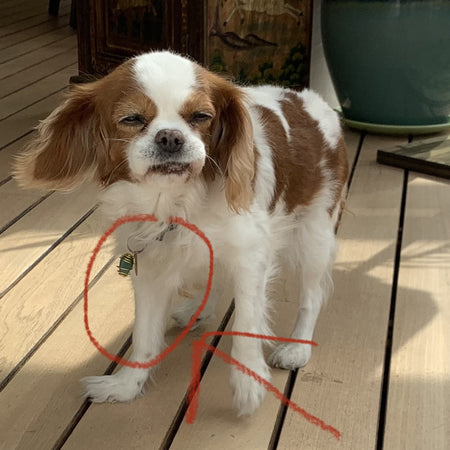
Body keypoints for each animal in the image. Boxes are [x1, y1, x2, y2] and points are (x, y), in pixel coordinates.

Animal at [14, 51, 348, 416]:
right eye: (132, 119)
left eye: (201, 116)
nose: (170, 137)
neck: (175, 202)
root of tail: (310, 100)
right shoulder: (149, 268)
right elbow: (144, 336)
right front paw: (126, 386)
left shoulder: (250, 259)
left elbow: (246, 323)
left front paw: (248, 384)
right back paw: (197, 311)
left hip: (314, 236)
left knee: (311, 296)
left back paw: (298, 348)